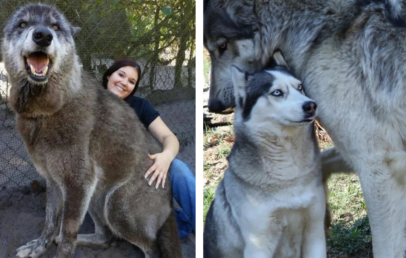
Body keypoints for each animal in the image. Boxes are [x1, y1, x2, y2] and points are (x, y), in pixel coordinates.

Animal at [1, 3, 182, 258]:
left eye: (56, 27)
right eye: (23, 24)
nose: (43, 36)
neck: (47, 111)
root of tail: (170, 200)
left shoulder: (77, 183)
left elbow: (67, 234)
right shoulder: (54, 181)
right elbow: (49, 222)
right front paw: (38, 246)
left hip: (115, 206)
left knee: (151, 247)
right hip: (96, 198)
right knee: (106, 238)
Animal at [203, 53, 326, 258]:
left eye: (300, 87)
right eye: (277, 93)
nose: (311, 105)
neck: (288, 177)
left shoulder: (315, 231)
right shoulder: (258, 244)